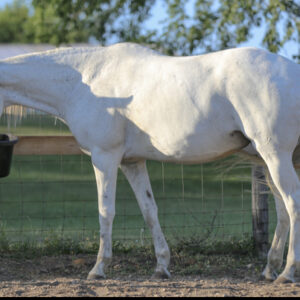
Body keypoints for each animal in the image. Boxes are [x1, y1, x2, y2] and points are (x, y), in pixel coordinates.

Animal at [0, 42, 300, 284]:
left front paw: (98, 268)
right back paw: (270, 269)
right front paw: (161, 267)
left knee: (293, 204)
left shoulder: (104, 157)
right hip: (265, 159)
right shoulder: (132, 162)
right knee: (282, 211)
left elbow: (105, 211)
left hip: (276, 155)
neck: (86, 80)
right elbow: (149, 210)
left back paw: (287, 273)